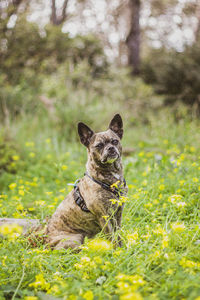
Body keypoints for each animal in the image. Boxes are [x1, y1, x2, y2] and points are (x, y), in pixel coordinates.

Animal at [44, 113, 127, 250]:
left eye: (115, 141)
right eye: (99, 145)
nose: (111, 148)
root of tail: (46, 241)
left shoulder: (118, 214)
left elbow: (118, 233)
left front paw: (122, 248)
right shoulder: (104, 216)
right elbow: (111, 236)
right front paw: (115, 251)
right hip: (75, 238)